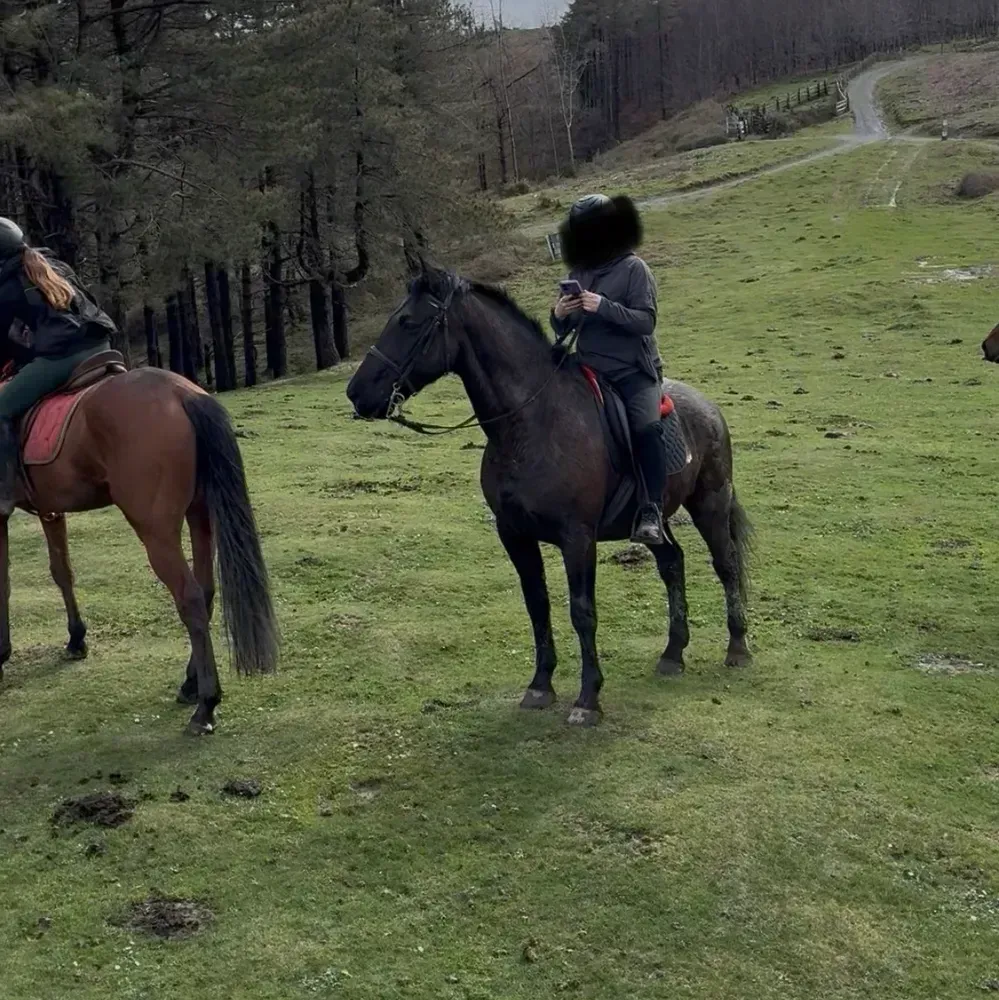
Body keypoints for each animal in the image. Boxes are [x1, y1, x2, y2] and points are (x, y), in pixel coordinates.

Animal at [0, 351, 278, 735]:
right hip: (200, 514)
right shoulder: (51, 511)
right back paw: (191, 683)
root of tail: (183, 394)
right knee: (205, 591)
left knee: (190, 598)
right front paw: (76, 638)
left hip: (156, 531)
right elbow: (62, 573)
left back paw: (206, 704)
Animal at [346, 261, 752, 726]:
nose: (357, 393)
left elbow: (582, 611)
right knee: (673, 564)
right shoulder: (514, 534)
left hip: (710, 503)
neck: (530, 421)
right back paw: (672, 653)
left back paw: (738, 648)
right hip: (656, 518)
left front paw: (587, 699)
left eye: (409, 322)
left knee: (726, 564)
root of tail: (708, 407)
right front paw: (540, 685)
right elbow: (537, 605)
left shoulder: (577, 538)